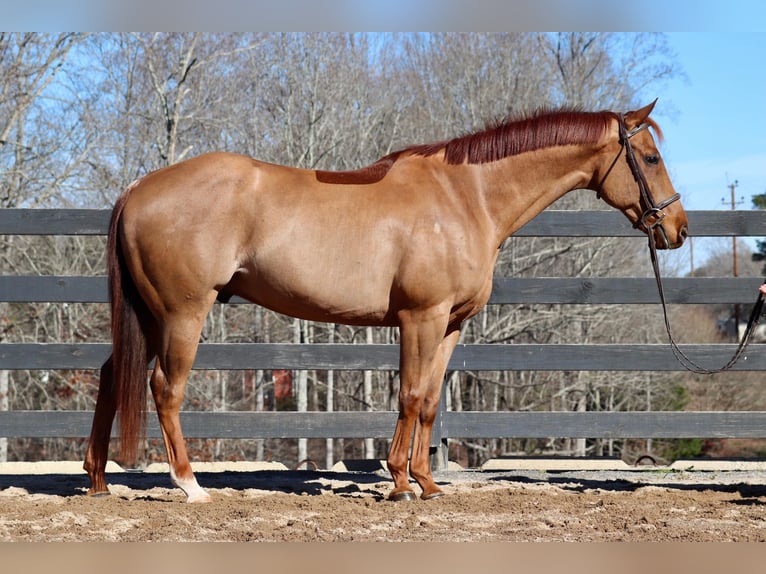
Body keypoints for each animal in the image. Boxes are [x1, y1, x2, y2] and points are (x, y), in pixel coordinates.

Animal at [82, 100, 688, 504]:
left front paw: (427, 482)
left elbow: (430, 401)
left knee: (112, 377)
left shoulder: (450, 326)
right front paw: (399, 483)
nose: (678, 229)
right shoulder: (421, 318)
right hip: (182, 314)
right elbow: (411, 395)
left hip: (148, 316)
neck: (466, 197)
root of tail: (138, 188)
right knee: (166, 388)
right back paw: (190, 486)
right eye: (651, 157)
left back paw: (98, 480)